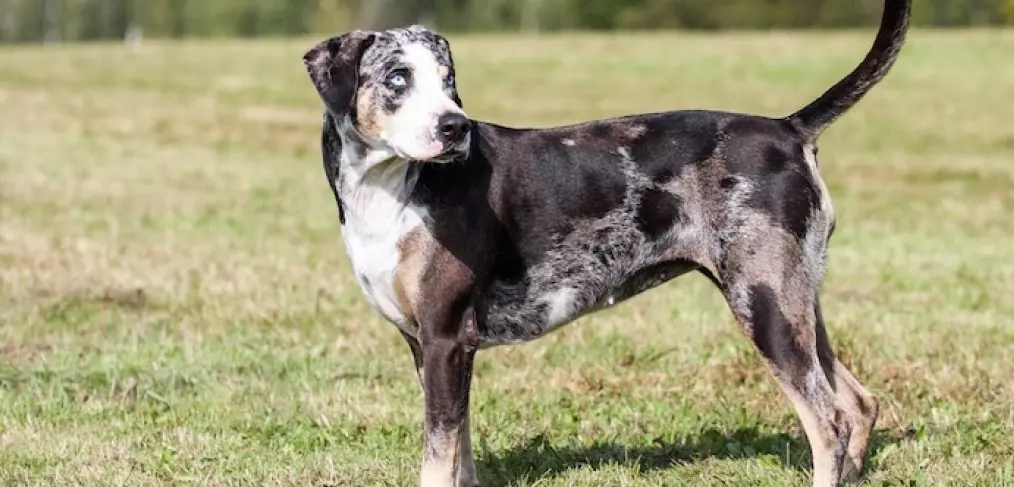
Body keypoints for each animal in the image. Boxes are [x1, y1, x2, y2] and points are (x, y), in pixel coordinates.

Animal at [298, 1, 912, 484]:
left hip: (765, 308)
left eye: (448, 82)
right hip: (795, 302)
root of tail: (788, 128)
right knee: (859, 404)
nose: (455, 127)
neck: (394, 189)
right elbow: (459, 450)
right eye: (397, 78)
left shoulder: (447, 338)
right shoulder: (430, 346)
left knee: (829, 422)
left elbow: (438, 455)